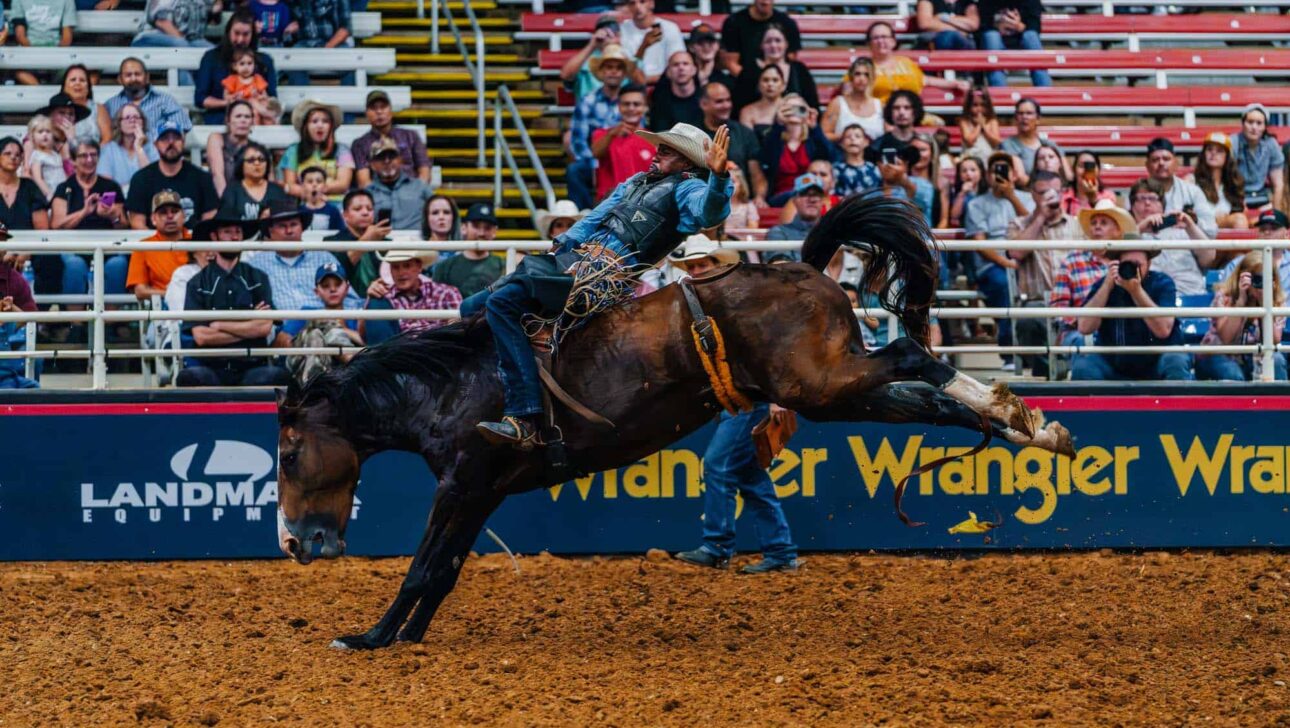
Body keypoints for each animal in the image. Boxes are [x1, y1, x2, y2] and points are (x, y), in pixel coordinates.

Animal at [277, 196, 1073, 650]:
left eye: (286, 455)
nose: (293, 544)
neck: (453, 383)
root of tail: (803, 268)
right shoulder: (484, 491)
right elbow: (441, 571)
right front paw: (406, 636)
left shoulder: (463, 483)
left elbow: (420, 566)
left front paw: (369, 638)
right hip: (830, 391)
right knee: (926, 397)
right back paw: (1028, 425)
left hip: (821, 382)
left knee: (910, 353)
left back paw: (1016, 416)